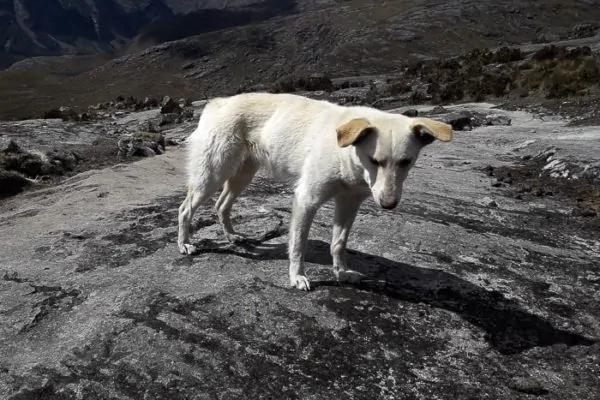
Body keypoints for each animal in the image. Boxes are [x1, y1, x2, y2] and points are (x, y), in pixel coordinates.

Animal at [176, 91, 452, 290]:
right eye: (374, 160)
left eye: (406, 161)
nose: (388, 204)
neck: (346, 153)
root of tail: (217, 103)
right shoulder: (306, 199)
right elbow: (299, 245)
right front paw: (297, 277)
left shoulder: (349, 203)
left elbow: (338, 243)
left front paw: (341, 273)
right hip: (212, 174)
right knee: (184, 209)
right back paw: (185, 244)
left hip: (242, 174)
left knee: (221, 204)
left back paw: (232, 236)